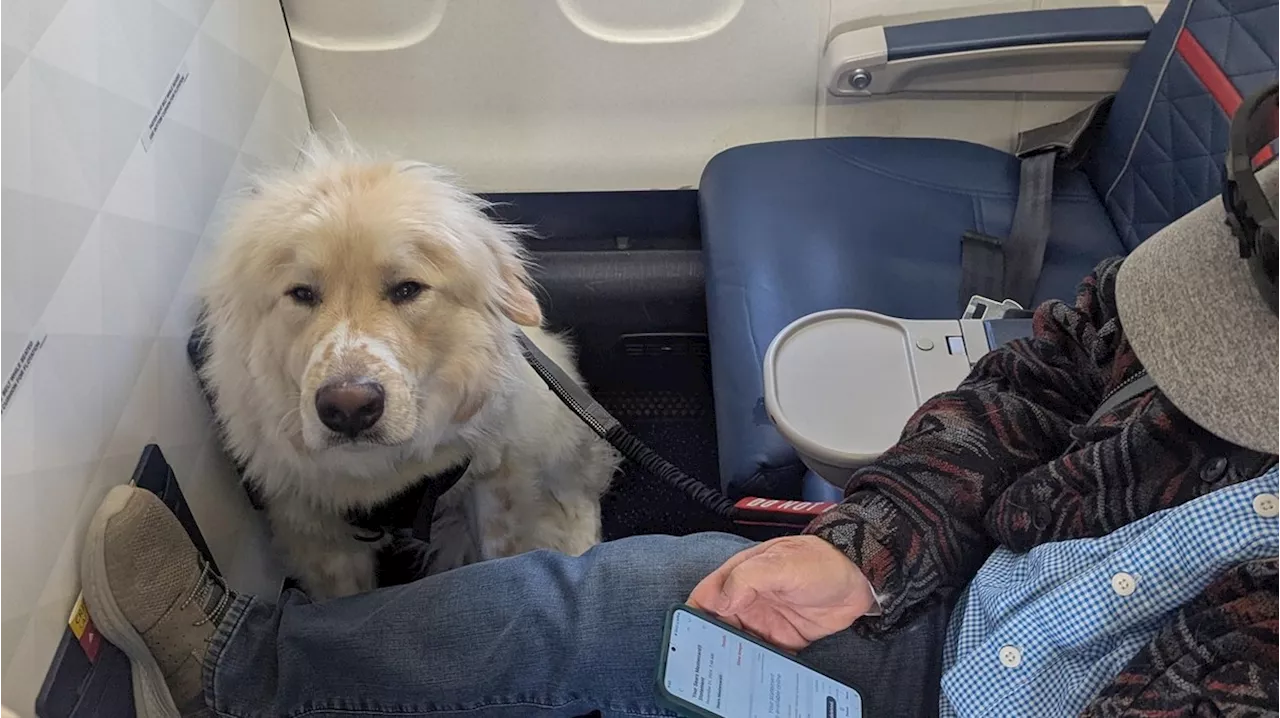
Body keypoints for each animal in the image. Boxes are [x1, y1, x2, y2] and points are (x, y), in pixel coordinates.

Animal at [194, 135, 619, 598]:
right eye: (302, 293)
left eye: (407, 289)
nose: (348, 408)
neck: (388, 477)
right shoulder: (314, 528)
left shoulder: (496, 478)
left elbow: (501, 550)